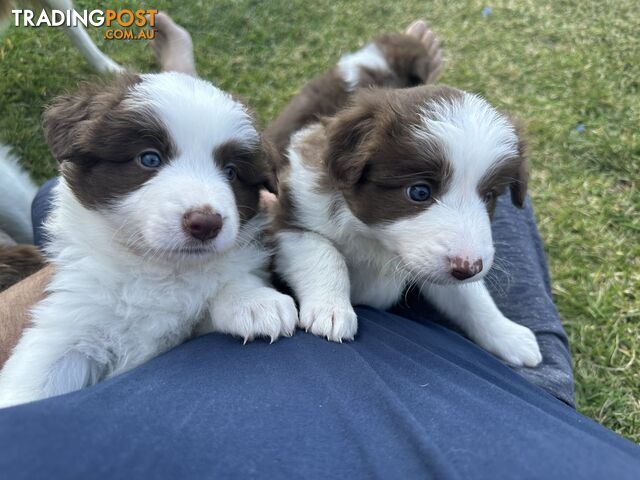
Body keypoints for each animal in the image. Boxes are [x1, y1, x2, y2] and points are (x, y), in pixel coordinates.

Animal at [0, 72, 298, 408]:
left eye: (231, 172)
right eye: (149, 158)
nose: (206, 223)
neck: (159, 270)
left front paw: (255, 302)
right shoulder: (72, 320)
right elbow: (34, 377)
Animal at [270, 26, 540, 366]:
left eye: (489, 196)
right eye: (419, 192)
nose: (468, 267)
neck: (376, 243)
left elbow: (470, 296)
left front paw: (508, 334)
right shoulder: (288, 218)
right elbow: (324, 253)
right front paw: (332, 310)